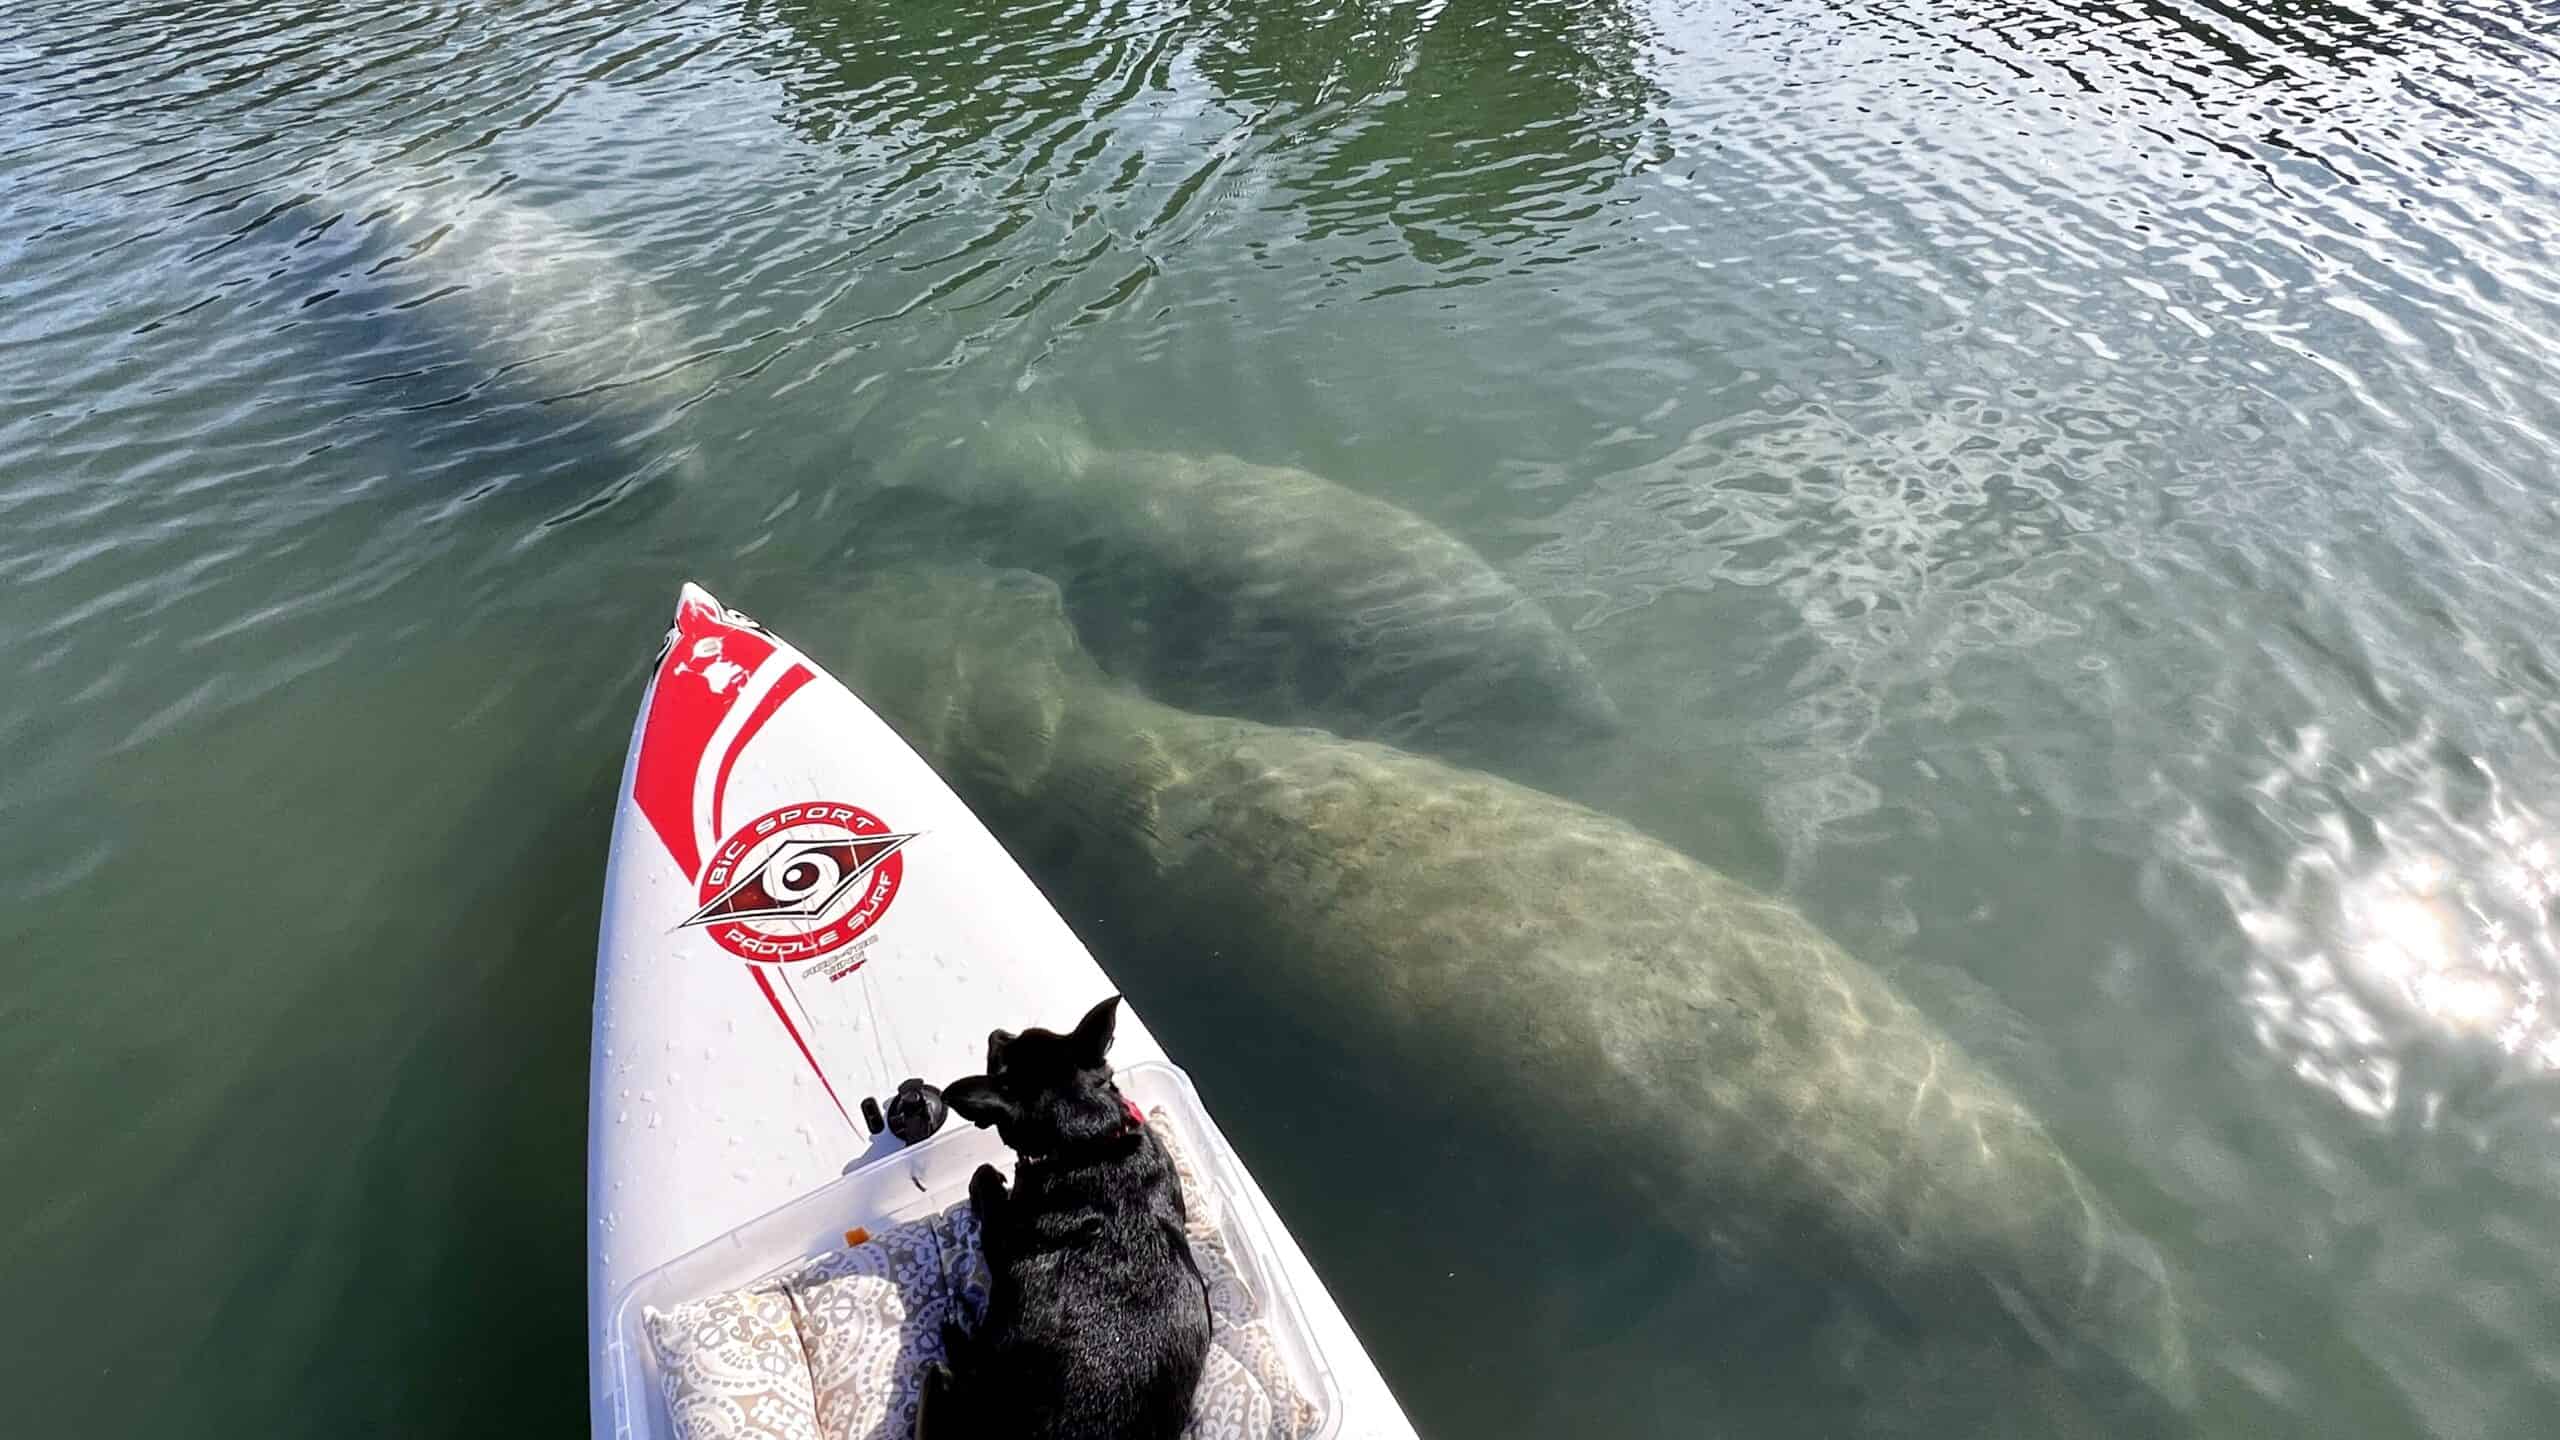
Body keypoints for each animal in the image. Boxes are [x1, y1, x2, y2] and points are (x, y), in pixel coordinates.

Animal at [926, 994, 1213, 1434]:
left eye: (997, 1062)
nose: (997, 1032)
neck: (1090, 1143)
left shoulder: (1001, 1234)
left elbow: (986, 1192)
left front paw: (989, 1179)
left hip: (944, 1384)